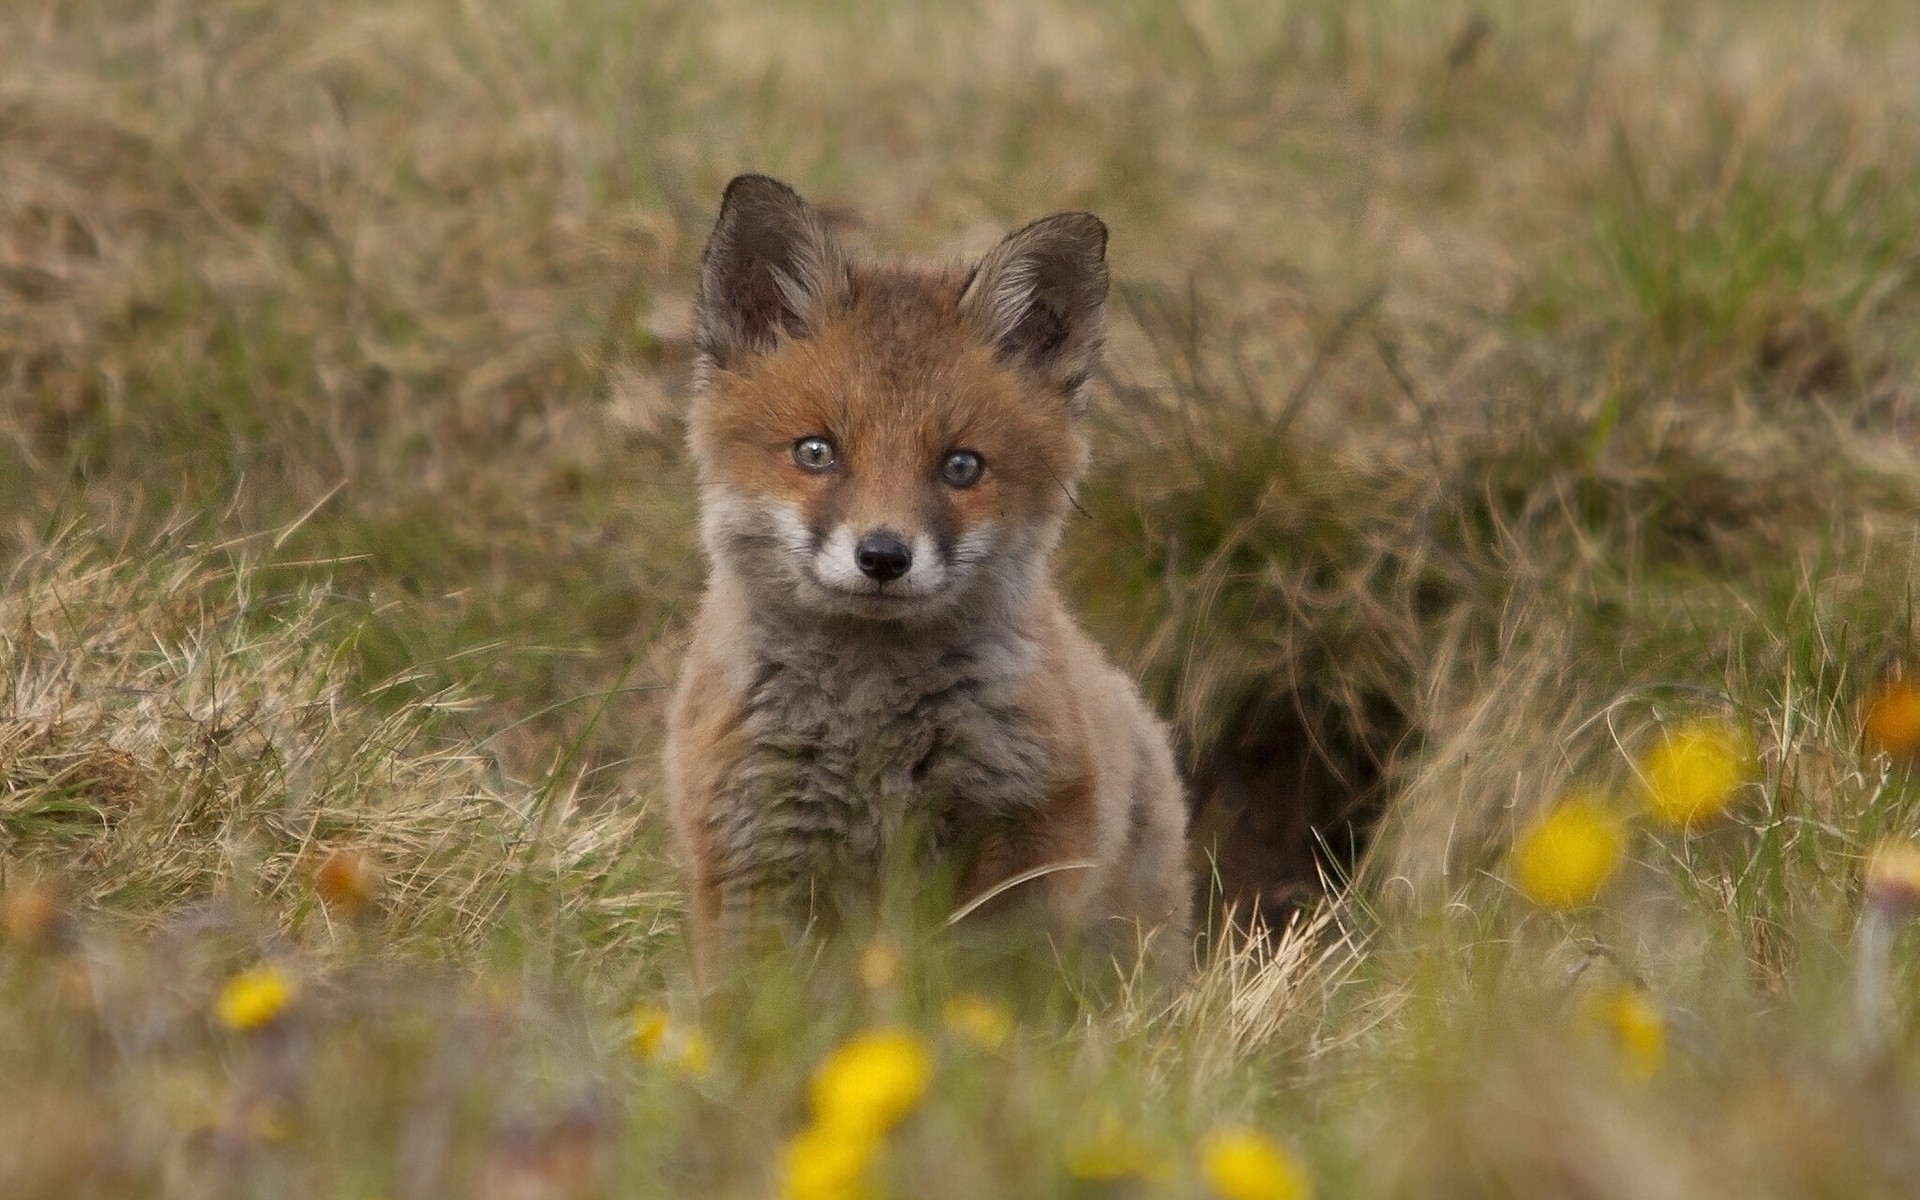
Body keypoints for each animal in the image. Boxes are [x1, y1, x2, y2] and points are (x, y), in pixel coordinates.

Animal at [668, 177, 1190, 979]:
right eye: (816, 451)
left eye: (961, 466)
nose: (884, 556)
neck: (869, 736)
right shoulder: (753, 850)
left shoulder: (1029, 843)